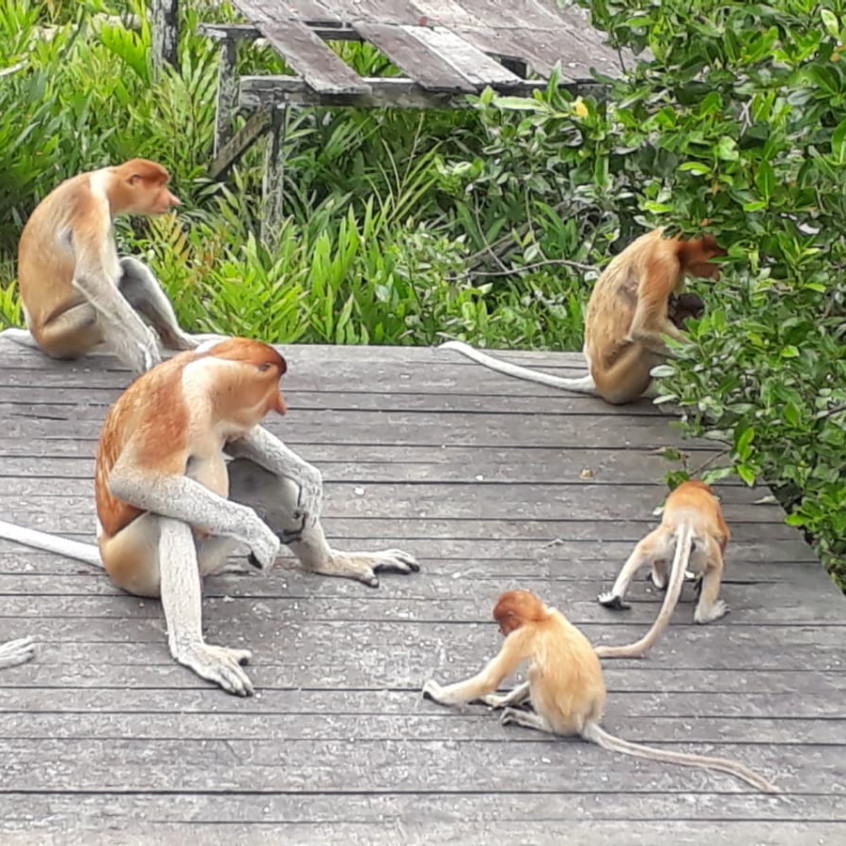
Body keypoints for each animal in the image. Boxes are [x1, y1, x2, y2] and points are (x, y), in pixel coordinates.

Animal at [0, 338, 420, 696]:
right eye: (273, 387)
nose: (282, 405)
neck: (207, 364)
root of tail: (103, 553)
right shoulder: (177, 406)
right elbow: (132, 480)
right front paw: (259, 533)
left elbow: (241, 439)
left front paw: (310, 479)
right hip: (130, 562)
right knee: (170, 519)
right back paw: (194, 649)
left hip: (209, 554)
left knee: (256, 475)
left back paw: (330, 562)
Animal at [424, 588, 780, 796]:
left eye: (503, 622)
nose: (500, 629)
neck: (542, 619)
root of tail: (587, 720)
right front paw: (495, 698)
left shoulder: (522, 637)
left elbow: (490, 677)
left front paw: (437, 692)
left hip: (562, 717)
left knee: (538, 674)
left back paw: (535, 721)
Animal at [440, 230, 724, 406]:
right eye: (714, 258)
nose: (717, 274)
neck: (672, 242)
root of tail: (594, 378)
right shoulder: (663, 263)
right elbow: (645, 328)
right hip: (617, 381)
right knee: (647, 348)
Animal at [592, 480, 732, 660]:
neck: (692, 487)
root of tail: (686, 523)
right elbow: (725, 536)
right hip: (704, 548)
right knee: (716, 566)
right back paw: (706, 615)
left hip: (666, 539)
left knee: (642, 550)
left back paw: (613, 599)